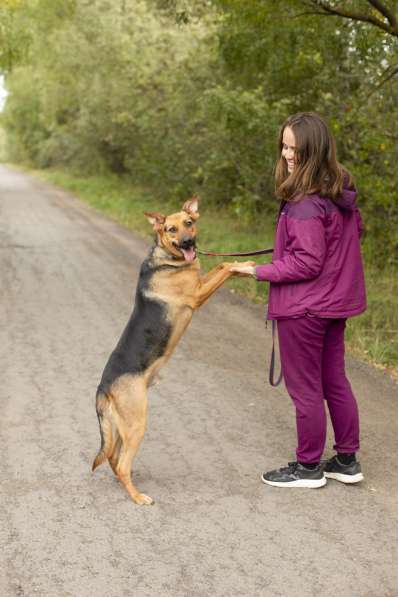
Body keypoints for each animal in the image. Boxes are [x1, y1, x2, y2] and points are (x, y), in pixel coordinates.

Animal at [92, 198, 255, 506]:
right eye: (171, 229)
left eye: (189, 223)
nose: (189, 242)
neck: (169, 258)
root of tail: (103, 386)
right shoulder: (198, 293)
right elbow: (224, 267)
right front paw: (244, 266)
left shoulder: (201, 282)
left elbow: (223, 263)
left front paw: (247, 264)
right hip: (137, 423)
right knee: (121, 463)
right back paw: (138, 497)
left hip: (120, 427)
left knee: (115, 460)